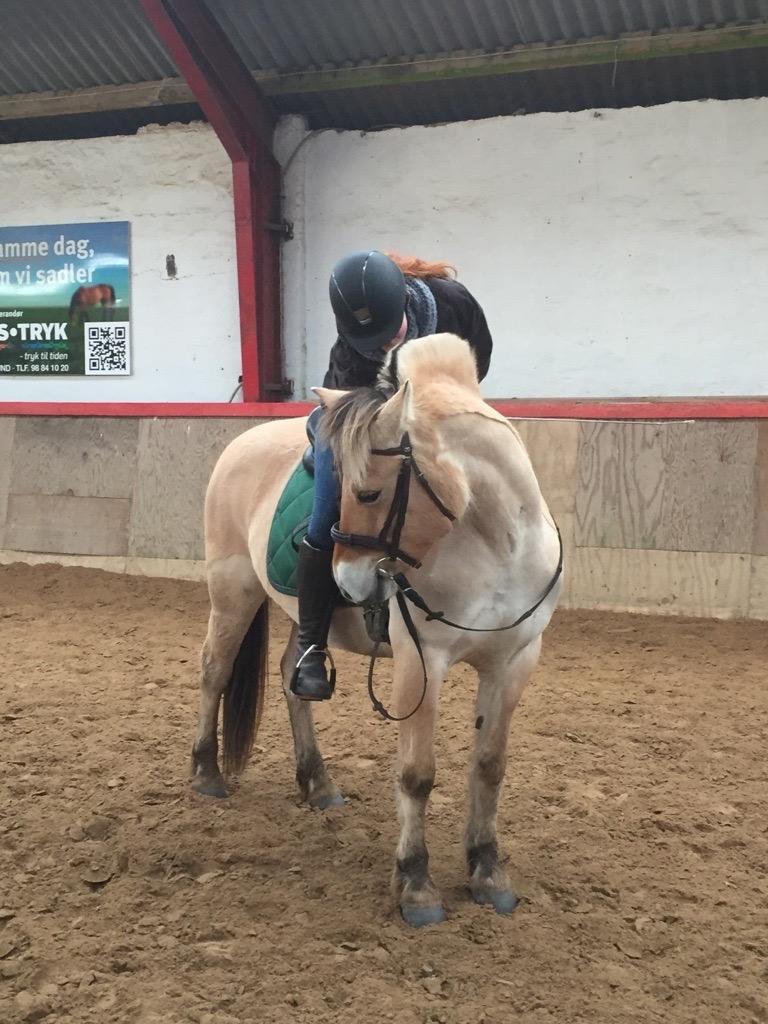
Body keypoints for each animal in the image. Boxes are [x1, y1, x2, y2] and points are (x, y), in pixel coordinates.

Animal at [192, 335, 565, 929]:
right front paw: (415, 885)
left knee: (293, 678)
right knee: (214, 671)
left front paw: (488, 872)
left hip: (298, 618)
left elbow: (489, 766)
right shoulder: (422, 660)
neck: (495, 540)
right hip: (233, 593)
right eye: (341, 488)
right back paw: (207, 773)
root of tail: (242, 443)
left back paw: (317, 783)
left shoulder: (515, 660)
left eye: (368, 494)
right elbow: (416, 774)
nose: (347, 582)